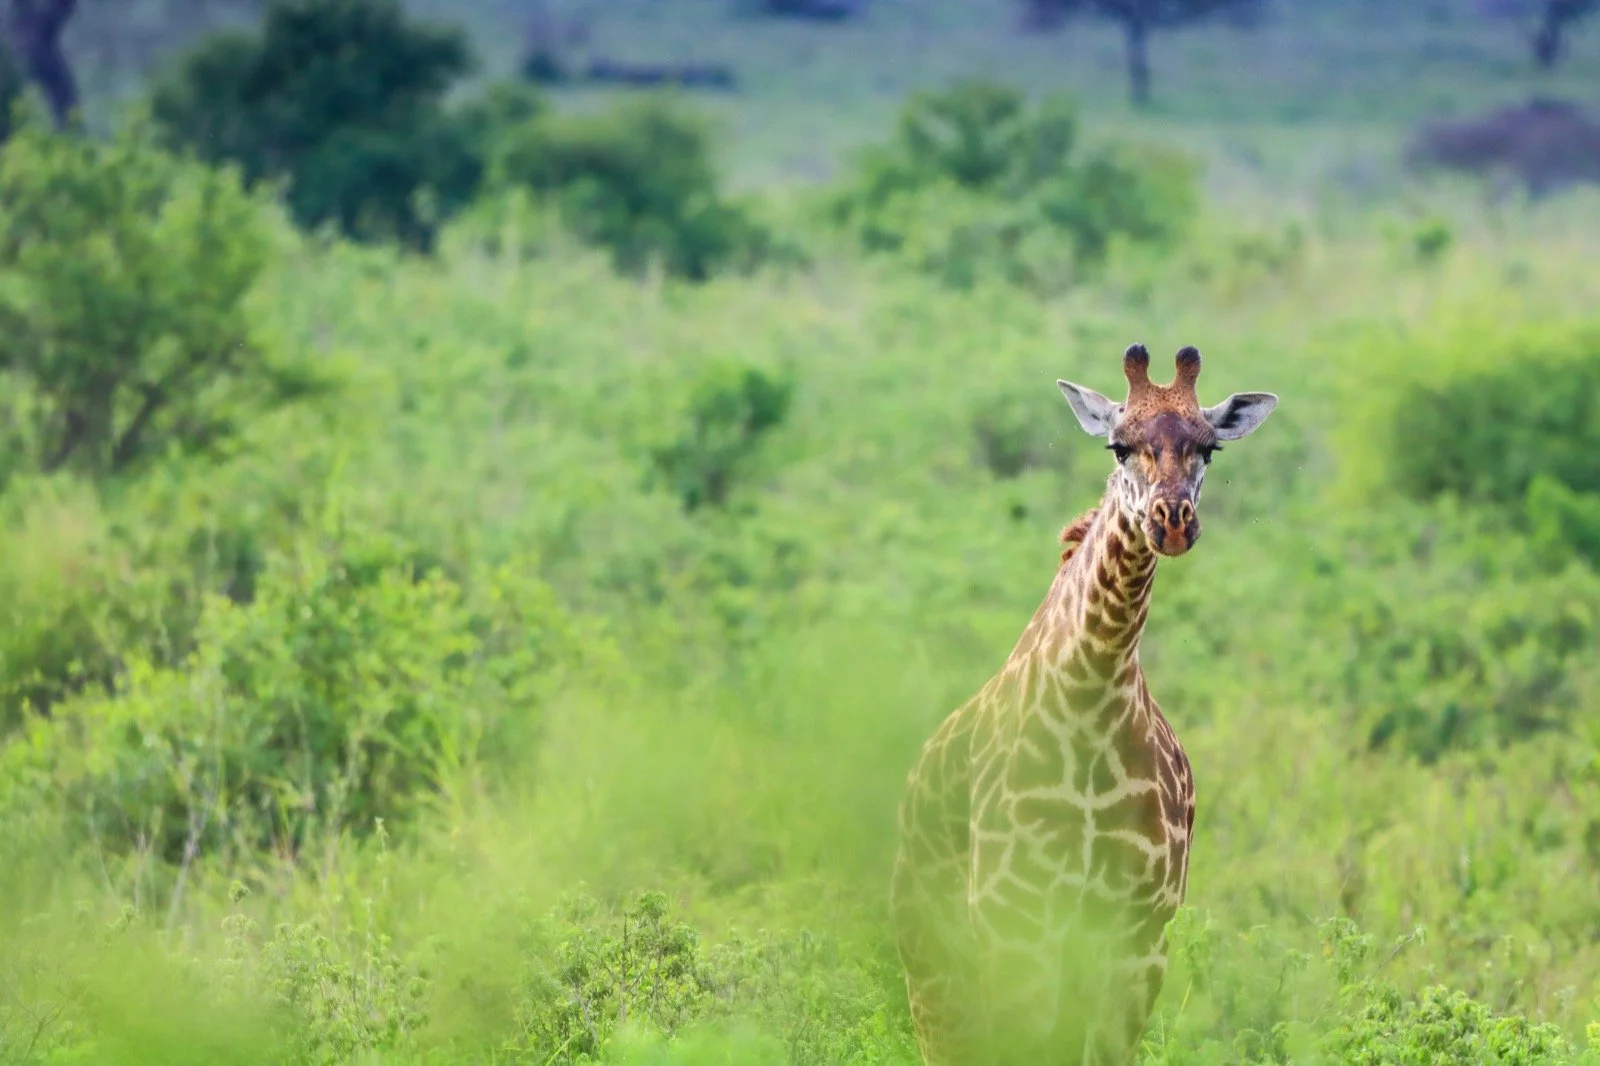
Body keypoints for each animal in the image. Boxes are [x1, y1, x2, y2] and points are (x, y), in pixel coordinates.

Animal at [890, 343, 1278, 1066]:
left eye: (1209, 449)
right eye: (1119, 445)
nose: (1171, 521)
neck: (1092, 694)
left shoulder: (1140, 932)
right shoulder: (1015, 917)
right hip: (931, 960)